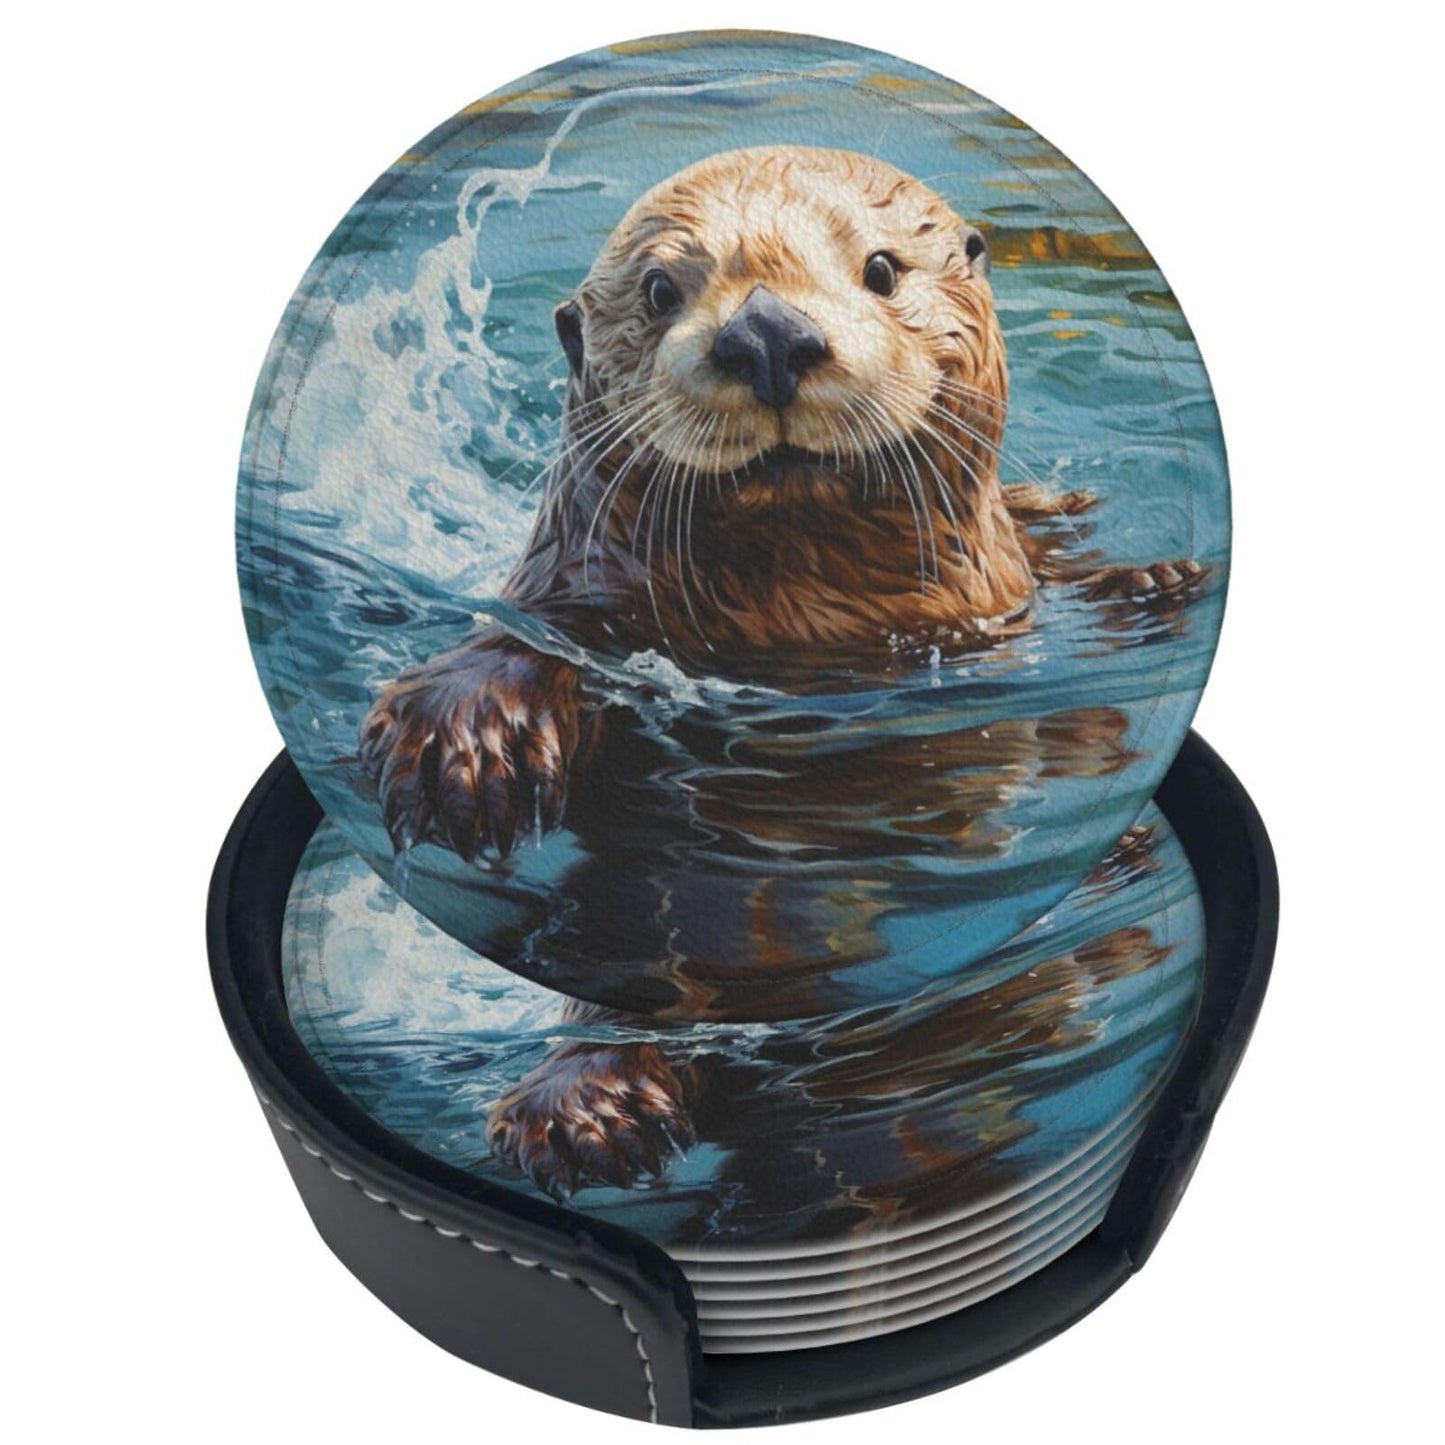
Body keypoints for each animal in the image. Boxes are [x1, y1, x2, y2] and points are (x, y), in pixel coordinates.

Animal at [358, 146, 1205, 1196]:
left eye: (881, 269)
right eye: (660, 289)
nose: (766, 333)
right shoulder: (583, 611)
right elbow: (521, 653)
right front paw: (463, 740)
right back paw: (588, 1107)